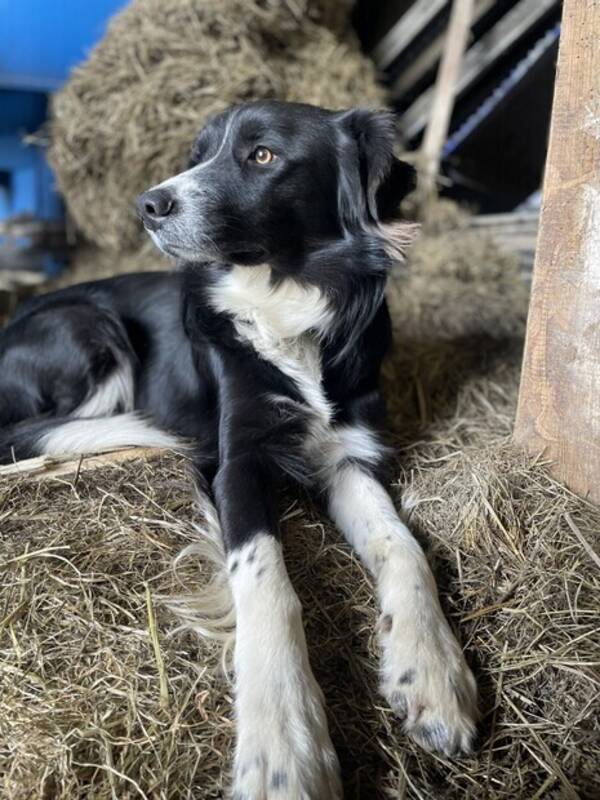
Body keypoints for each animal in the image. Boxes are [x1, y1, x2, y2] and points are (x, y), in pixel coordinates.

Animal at [0, 103, 478, 796]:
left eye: (262, 156)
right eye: (198, 154)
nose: (148, 205)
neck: (284, 302)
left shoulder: (351, 456)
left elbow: (404, 546)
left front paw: (433, 672)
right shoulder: (237, 465)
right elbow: (266, 578)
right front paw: (284, 742)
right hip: (91, 329)